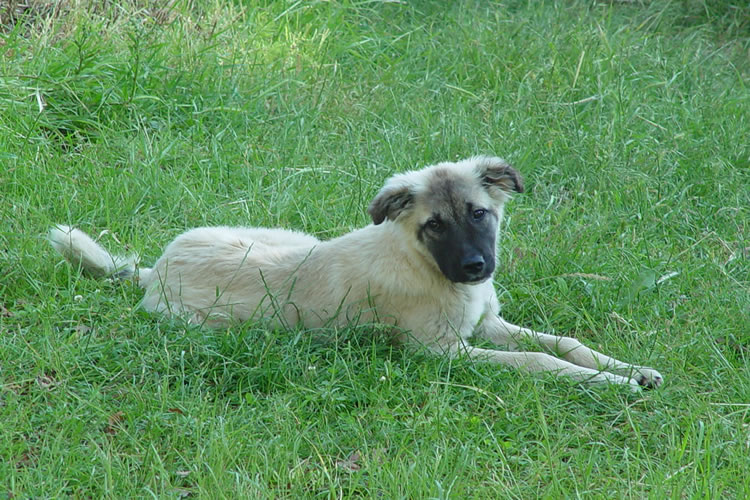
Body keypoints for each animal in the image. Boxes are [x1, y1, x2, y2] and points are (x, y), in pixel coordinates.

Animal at [50, 156, 664, 390]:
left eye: (479, 214)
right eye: (434, 225)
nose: (476, 267)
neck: (423, 264)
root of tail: (153, 271)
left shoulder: (486, 324)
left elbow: (566, 343)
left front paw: (631, 369)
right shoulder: (443, 352)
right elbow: (539, 360)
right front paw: (611, 384)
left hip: (288, 235)